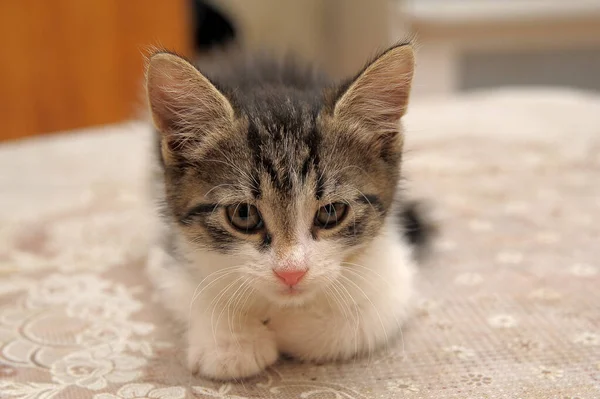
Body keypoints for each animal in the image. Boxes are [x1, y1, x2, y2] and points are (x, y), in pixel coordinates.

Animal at [146, 43, 432, 382]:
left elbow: (355, 322)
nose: (291, 273)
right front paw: (233, 342)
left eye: (331, 211)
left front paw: (285, 327)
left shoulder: (394, 276)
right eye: (243, 214)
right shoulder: (169, 253)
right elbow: (189, 285)